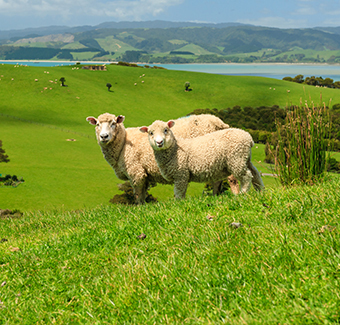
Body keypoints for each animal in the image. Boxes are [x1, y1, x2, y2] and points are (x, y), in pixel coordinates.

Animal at [86, 112, 238, 202]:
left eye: (113, 123)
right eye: (97, 124)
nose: (104, 136)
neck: (123, 143)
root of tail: (219, 123)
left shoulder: (136, 171)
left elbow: (137, 194)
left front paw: (138, 209)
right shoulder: (145, 174)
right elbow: (142, 194)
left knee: (232, 178)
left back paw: (237, 195)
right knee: (217, 180)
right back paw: (216, 197)